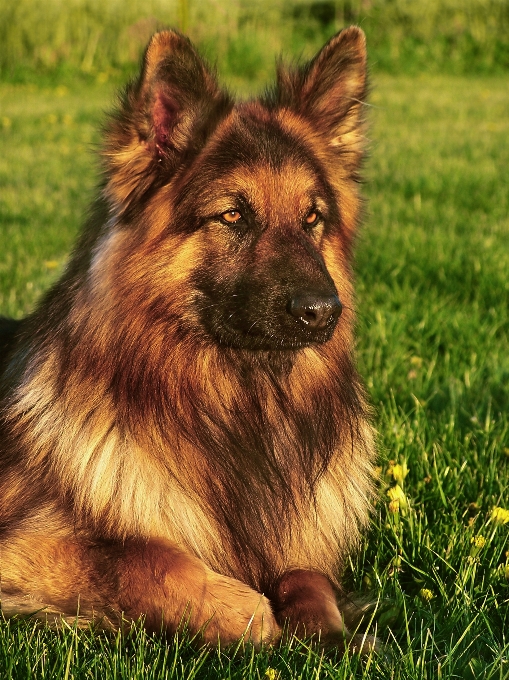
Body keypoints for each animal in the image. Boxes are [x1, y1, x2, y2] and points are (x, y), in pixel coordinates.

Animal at [0, 26, 374, 652]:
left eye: (313, 218)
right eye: (233, 216)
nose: (324, 312)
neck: (237, 407)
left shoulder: (298, 549)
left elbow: (307, 577)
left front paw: (328, 631)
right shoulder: (25, 544)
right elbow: (144, 559)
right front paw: (257, 617)